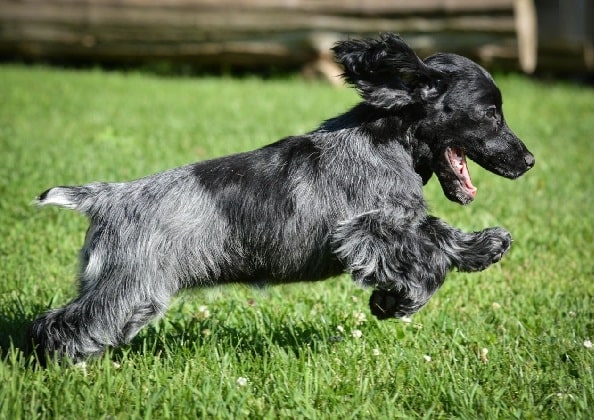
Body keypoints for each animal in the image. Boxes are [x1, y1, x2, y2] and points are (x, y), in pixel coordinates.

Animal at [26, 33, 532, 364]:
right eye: (490, 113)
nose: (528, 161)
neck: (387, 137)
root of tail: (107, 197)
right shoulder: (368, 229)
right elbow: (433, 241)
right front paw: (464, 260)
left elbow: (431, 238)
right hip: (131, 287)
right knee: (61, 325)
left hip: (123, 290)